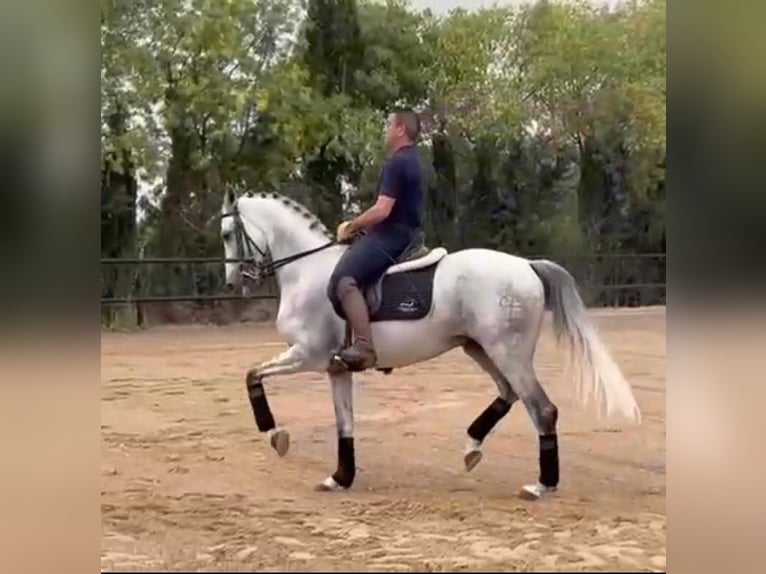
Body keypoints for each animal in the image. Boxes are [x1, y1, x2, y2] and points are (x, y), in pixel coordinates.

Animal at [219, 189, 641, 499]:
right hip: (480, 348)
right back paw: (472, 446)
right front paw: (340, 477)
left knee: (542, 409)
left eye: (226, 235)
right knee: (508, 393)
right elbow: (344, 423)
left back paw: (541, 485)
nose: (232, 282)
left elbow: (252, 375)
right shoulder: (336, 367)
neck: (306, 271)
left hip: (509, 352)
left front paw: (275, 434)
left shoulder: (308, 355)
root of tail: (526, 265)